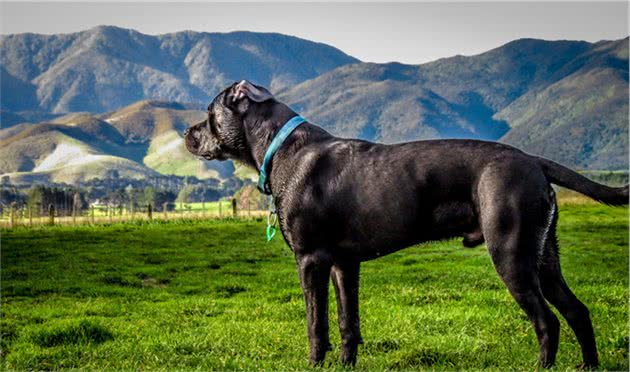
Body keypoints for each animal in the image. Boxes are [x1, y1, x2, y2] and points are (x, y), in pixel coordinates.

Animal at [185, 80, 628, 368]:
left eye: (209, 114)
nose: (188, 133)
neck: (280, 147)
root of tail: (533, 161)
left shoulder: (310, 261)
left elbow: (316, 324)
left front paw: (315, 362)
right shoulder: (344, 265)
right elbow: (348, 322)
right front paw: (346, 363)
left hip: (512, 254)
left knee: (547, 321)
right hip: (544, 258)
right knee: (577, 311)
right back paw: (589, 365)